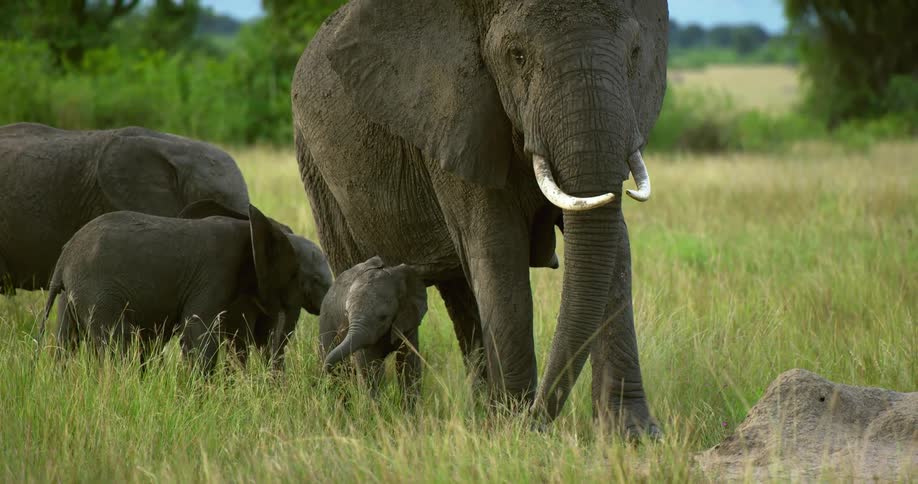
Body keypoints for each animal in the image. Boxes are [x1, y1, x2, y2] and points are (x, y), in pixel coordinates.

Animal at [38, 202, 333, 373]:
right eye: (314, 281)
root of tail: (63, 258)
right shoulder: (215, 273)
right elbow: (199, 333)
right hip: (98, 290)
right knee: (119, 342)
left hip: (73, 293)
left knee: (67, 340)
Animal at [320, 256, 428, 402]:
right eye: (346, 314)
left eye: (383, 317)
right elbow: (368, 368)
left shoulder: (408, 320)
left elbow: (408, 363)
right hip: (326, 323)